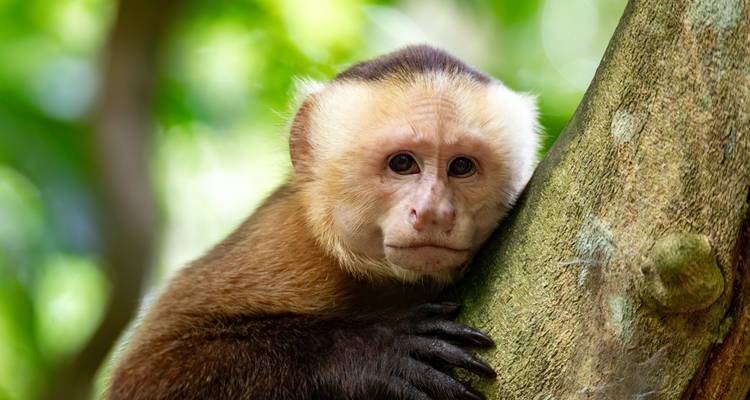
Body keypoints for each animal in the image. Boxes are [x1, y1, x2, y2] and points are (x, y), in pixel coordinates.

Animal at [107, 45, 539, 400]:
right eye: (402, 163)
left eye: (461, 166)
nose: (434, 212)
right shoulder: (286, 242)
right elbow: (145, 375)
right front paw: (374, 352)